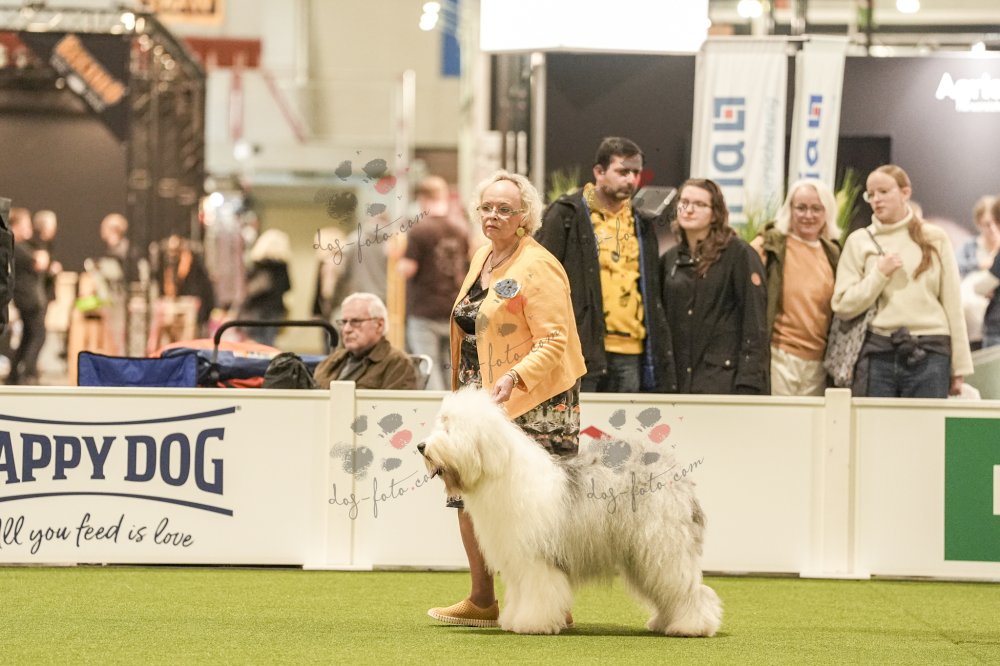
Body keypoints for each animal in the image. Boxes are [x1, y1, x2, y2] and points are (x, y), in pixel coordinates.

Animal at [417, 388, 722, 636]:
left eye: (449, 428)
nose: (421, 446)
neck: (500, 469)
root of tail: (677, 476)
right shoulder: (515, 558)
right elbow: (519, 593)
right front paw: (512, 619)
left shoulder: (537, 558)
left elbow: (538, 592)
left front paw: (531, 624)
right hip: (642, 555)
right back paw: (665, 622)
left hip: (662, 546)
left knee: (687, 589)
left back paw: (692, 626)